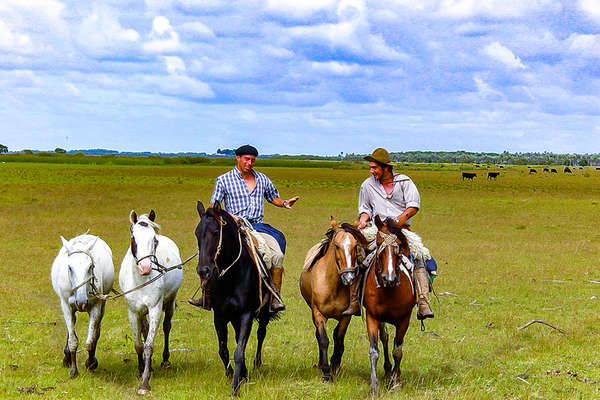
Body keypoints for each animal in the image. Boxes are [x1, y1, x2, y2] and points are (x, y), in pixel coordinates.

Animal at [50, 233, 115, 376]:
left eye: (90, 266)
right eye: (70, 267)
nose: (81, 302)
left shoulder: (96, 306)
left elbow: (90, 341)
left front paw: (91, 363)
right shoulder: (66, 306)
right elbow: (73, 340)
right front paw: (73, 370)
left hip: (102, 304)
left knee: (96, 330)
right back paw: (67, 356)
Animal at [118, 211, 182, 396]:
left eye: (154, 240)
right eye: (133, 238)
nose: (146, 267)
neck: (141, 280)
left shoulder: (155, 308)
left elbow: (148, 345)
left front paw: (145, 384)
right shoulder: (133, 312)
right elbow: (139, 344)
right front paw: (141, 370)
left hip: (170, 302)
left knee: (167, 326)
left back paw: (165, 361)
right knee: (145, 329)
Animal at [197, 202, 282, 396]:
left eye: (215, 232)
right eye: (197, 233)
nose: (203, 271)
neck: (232, 276)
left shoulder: (246, 314)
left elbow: (239, 352)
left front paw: (235, 387)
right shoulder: (220, 316)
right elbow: (224, 349)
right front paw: (234, 375)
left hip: (263, 313)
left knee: (261, 333)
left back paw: (257, 364)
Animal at [298, 217, 368, 382]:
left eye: (356, 245)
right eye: (336, 245)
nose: (349, 277)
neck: (333, 286)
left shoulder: (345, 317)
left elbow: (339, 339)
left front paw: (335, 366)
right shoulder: (318, 314)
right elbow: (323, 340)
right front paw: (326, 372)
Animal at [364, 216, 414, 396]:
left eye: (398, 245)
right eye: (379, 242)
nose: (389, 278)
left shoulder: (404, 319)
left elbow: (397, 351)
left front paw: (395, 382)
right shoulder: (372, 316)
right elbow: (374, 351)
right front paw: (374, 387)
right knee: (384, 337)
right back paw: (387, 369)